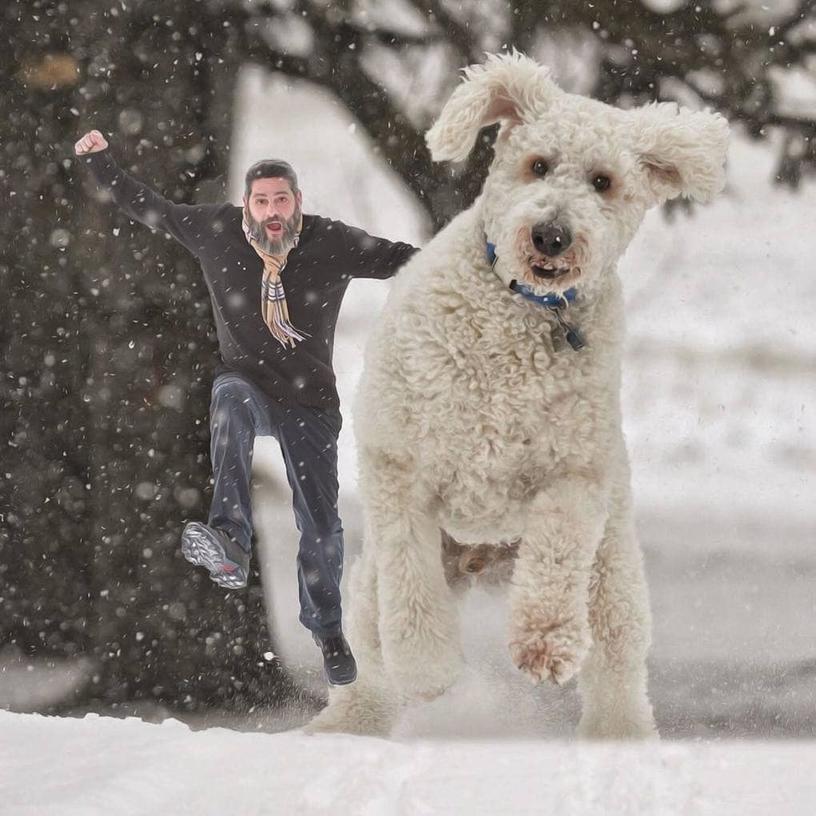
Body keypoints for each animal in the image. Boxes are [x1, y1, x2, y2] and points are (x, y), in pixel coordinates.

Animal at [308, 52, 728, 740]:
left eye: (604, 182)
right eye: (536, 164)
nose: (552, 235)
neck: (526, 313)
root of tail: (482, 563)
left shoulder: (574, 474)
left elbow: (555, 556)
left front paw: (545, 645)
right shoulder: (399, 465)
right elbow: (411, 591)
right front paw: (429, 673)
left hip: (612, 573)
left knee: (616, 661)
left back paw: (621, 737)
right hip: (371, 586)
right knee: (372, 652)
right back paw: (347, 723)